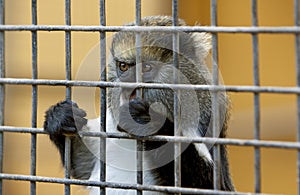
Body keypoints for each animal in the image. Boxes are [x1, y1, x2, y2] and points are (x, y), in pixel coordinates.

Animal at [44, 16, 234, 194]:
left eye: (146, 68)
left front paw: (147, 121)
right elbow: (83, 166)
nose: (126, 84)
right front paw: (60, 116)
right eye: (123, 66)